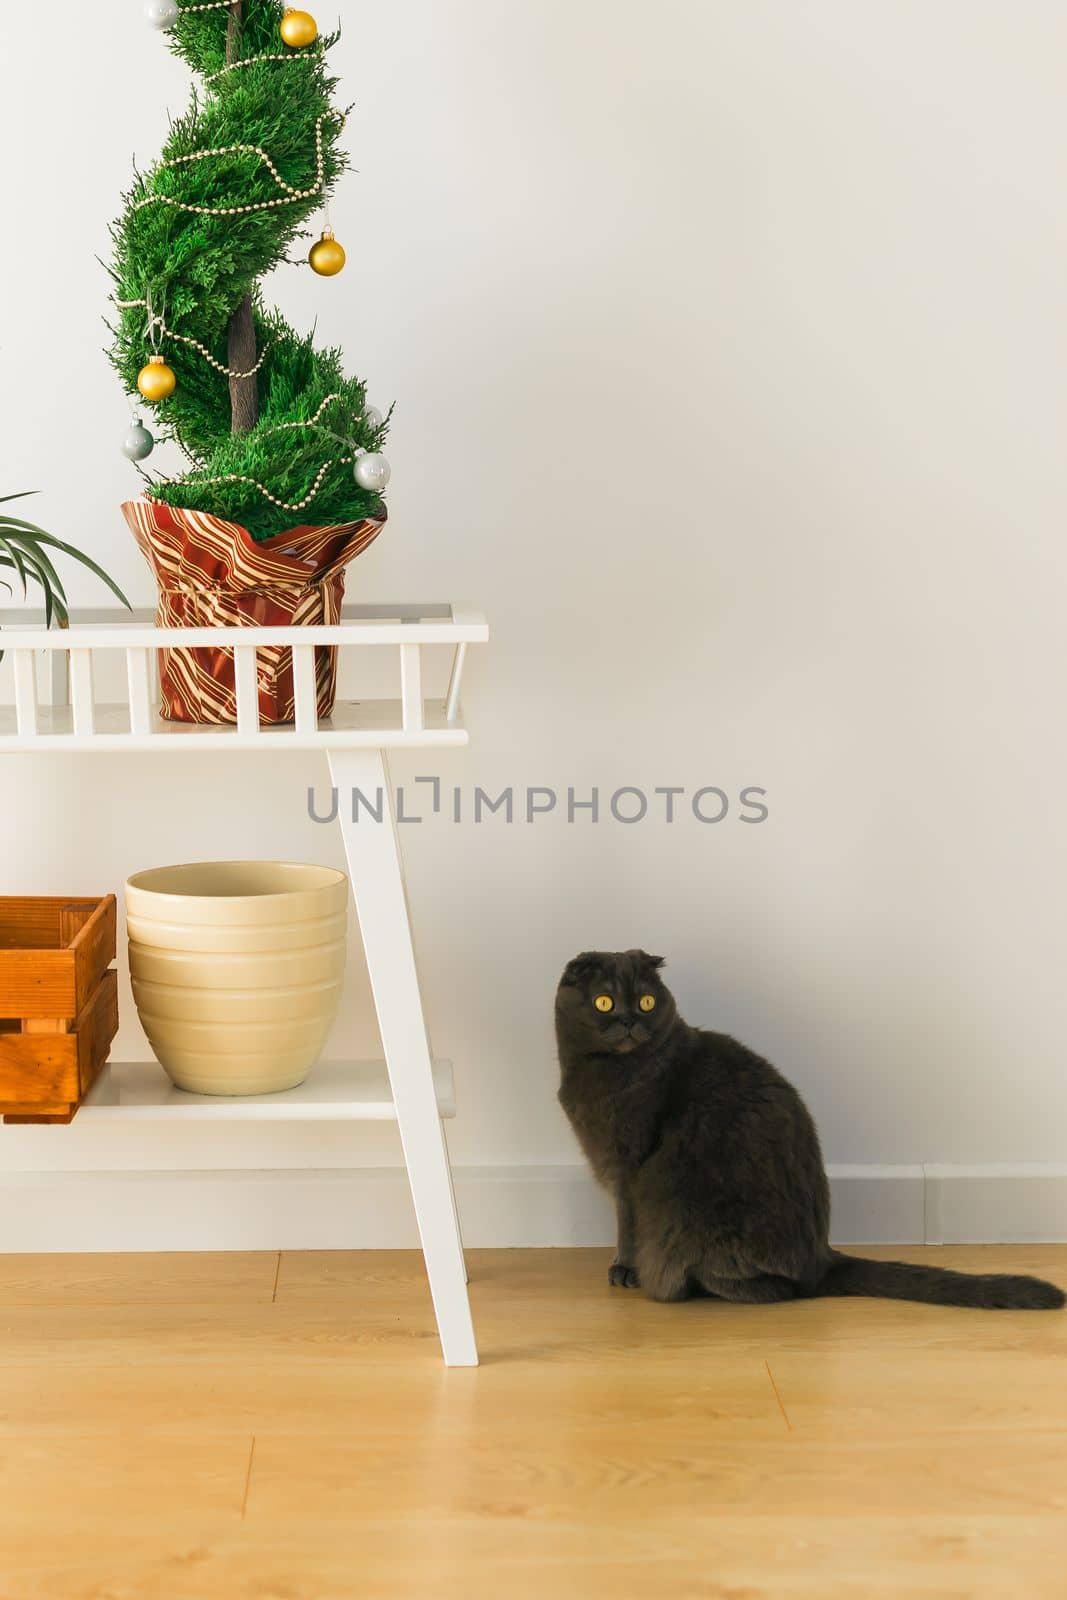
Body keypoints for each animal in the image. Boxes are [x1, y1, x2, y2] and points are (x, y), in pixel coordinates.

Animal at [556, 953, 1062, 1305]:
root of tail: (822, 1257)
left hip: (691, 1217)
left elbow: (627, 1222)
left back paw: (689, 1284)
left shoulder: (627, 1166)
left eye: (646, 1001)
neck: (603, 1072)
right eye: (604, 1002)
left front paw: (625, 1269)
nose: (629, 1020)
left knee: (776, 1288)